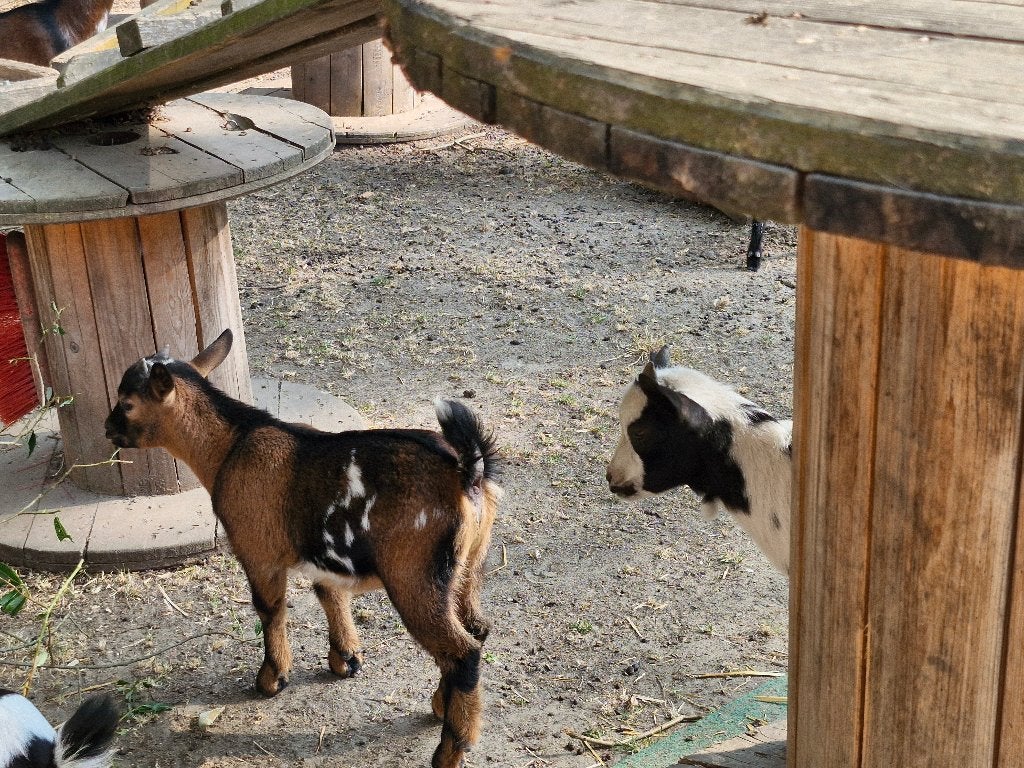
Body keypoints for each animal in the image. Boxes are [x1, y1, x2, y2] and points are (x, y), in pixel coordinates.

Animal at [103, 330, 502, 768]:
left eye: (127, 402)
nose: (107, 428)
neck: (231, 445)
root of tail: (467, 472)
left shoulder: (258, 553)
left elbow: (270, 610)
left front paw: (272, 678)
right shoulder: (325, 554)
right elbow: (330, 594)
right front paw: (345, 659)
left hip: (415, 577)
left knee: (462, 653)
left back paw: (449, 750)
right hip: (467, 569)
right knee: (476, 629)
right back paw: (440, 705)